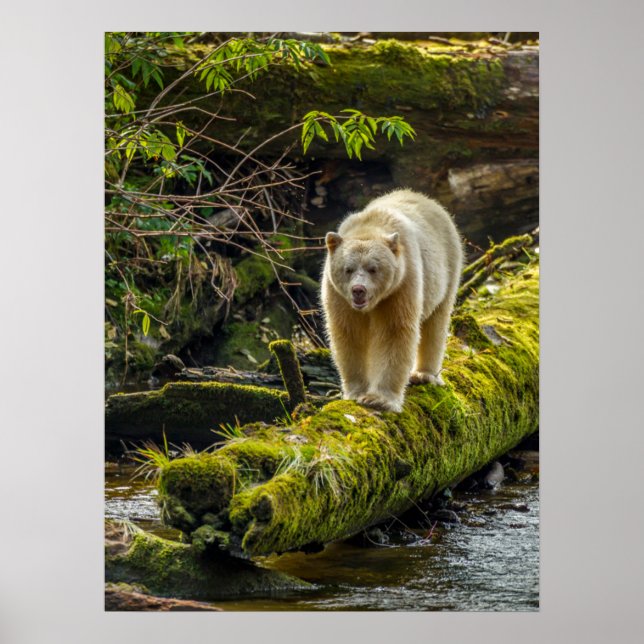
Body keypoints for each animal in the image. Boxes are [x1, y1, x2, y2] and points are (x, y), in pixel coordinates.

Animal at [321, 189, 463, 413]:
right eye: (348, 269)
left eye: (373, 268)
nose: (358, 290)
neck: (369, 227)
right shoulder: (338, 296)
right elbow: (348, 335)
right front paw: (356, 392)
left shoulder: (401, 286)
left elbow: (394, 332)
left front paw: (379, 399)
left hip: (446, 270)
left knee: (436, 323)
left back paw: (424, 374)